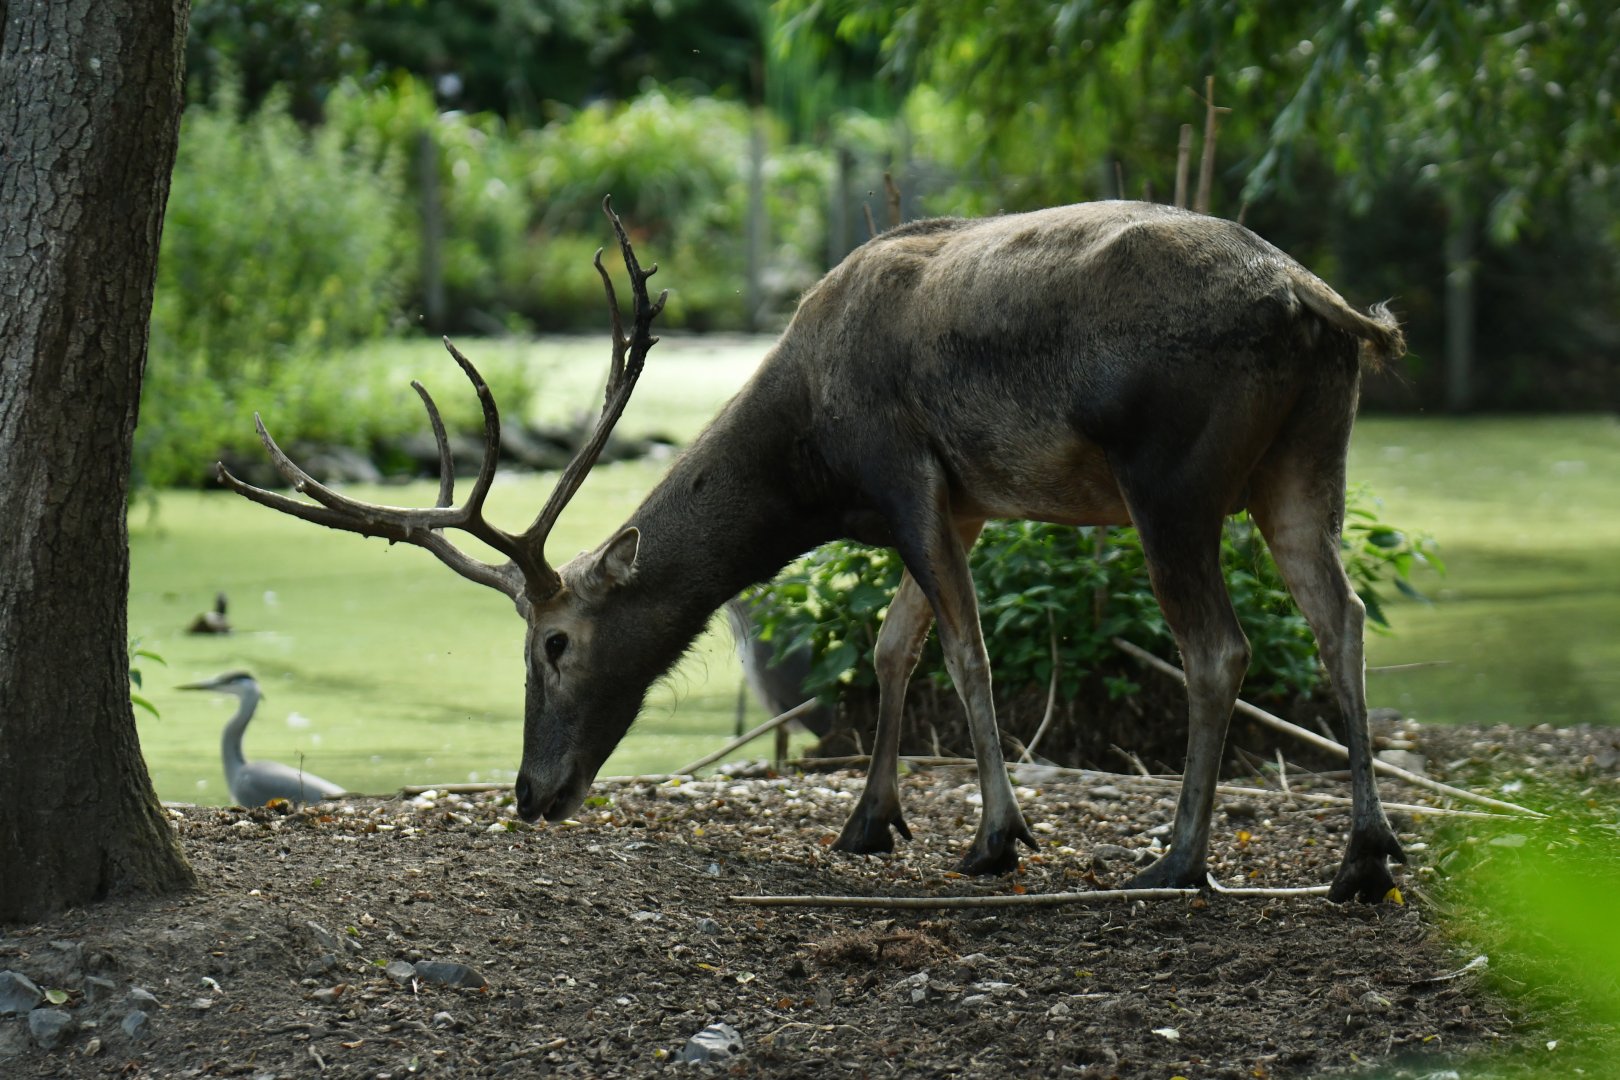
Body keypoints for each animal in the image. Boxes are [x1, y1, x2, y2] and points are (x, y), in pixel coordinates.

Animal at [220, 195, 1407, 903]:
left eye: (553, 644)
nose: (528, 791)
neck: (810, 468)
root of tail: (1330, 307)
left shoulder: (907, 474)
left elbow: (960, 654)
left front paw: (994, 838)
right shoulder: (962, 504)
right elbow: (888, 648)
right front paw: (868, 822)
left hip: (1171, 479)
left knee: (1221, 648)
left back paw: (1179, 856)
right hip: (1307, 460)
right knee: (1341, 617)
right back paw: (1364, 853)